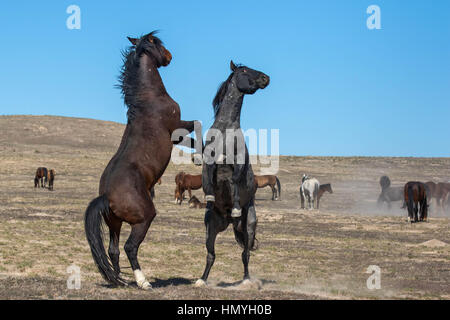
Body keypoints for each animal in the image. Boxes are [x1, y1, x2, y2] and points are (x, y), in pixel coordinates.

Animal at [83, 32, 200, 290]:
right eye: (156, 42)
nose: (169, 56)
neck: (149, 99)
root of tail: (106, 196)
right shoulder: (176, 129)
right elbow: (197, 126)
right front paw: (199, 157)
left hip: (114, 224)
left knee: (113, 250)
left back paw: (120, 281)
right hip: (144, 218)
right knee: (129, 247)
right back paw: (143, 281)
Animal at [195, 61, 268, 286]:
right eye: (244, 70)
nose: (266, 78)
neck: (225, 130)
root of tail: (229, 221)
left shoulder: (238, 164)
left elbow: (235, 181)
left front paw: (235, 206)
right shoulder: (209, 162)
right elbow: (209, 181)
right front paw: (209, 199)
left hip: (248, 226)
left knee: (246, 254)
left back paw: (246, 281)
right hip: (212, 228)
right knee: (211, 254)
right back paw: (201, 280)